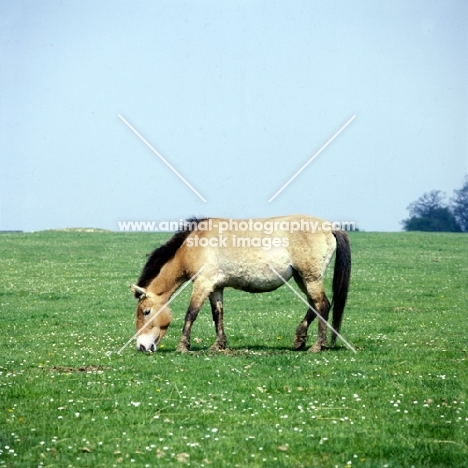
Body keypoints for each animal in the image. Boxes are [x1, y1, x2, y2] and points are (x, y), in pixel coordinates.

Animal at [130, 216, 350, 354]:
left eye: (147, 312)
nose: (141, 346)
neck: (194, 245)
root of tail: (330, 227)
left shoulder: (202, 284)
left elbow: (191, 313)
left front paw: (183, 346)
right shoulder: (215, 288)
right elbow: (217, 314)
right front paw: (218, 345)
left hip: (311, 278)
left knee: (322, 305)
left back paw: (317, 346)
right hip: (302, 278)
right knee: (315, 305)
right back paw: (299, 339)